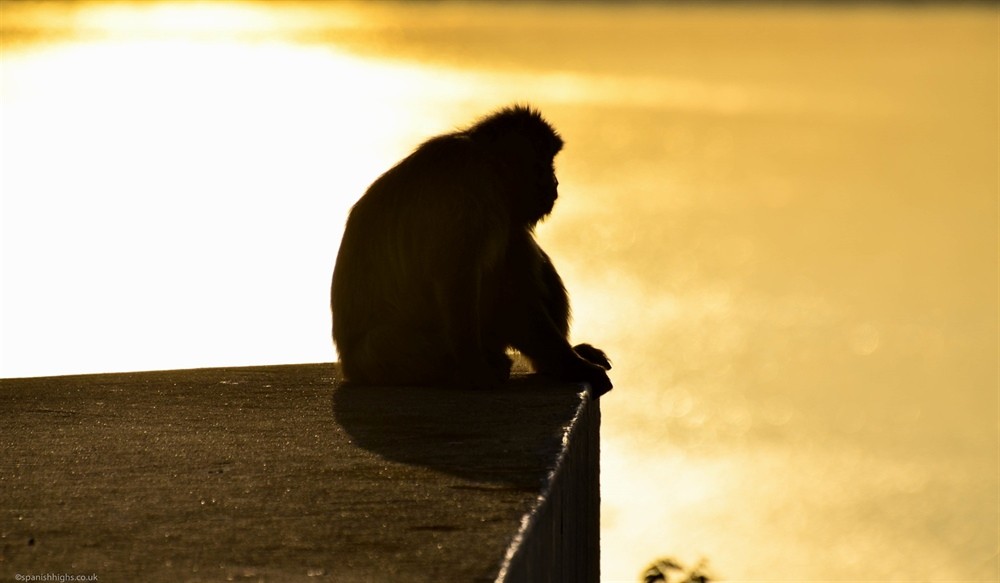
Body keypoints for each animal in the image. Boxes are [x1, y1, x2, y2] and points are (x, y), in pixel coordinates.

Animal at [330, 105, 612, 396]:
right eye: (543, 163)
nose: (554, 182)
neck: (487, 163)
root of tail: (351, 368)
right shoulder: (467, 187)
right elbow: (458, 275)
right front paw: (476, 371)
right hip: (392, 356)